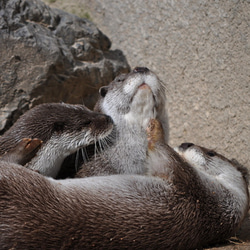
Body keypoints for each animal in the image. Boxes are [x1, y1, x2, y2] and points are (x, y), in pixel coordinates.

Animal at [0, 119, 248, 250]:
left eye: (211, 152)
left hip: (16, 182)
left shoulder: (189, 186)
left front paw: (155, 128)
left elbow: (165, 154)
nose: (186, 143)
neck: (213, 206)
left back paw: (26, 148)